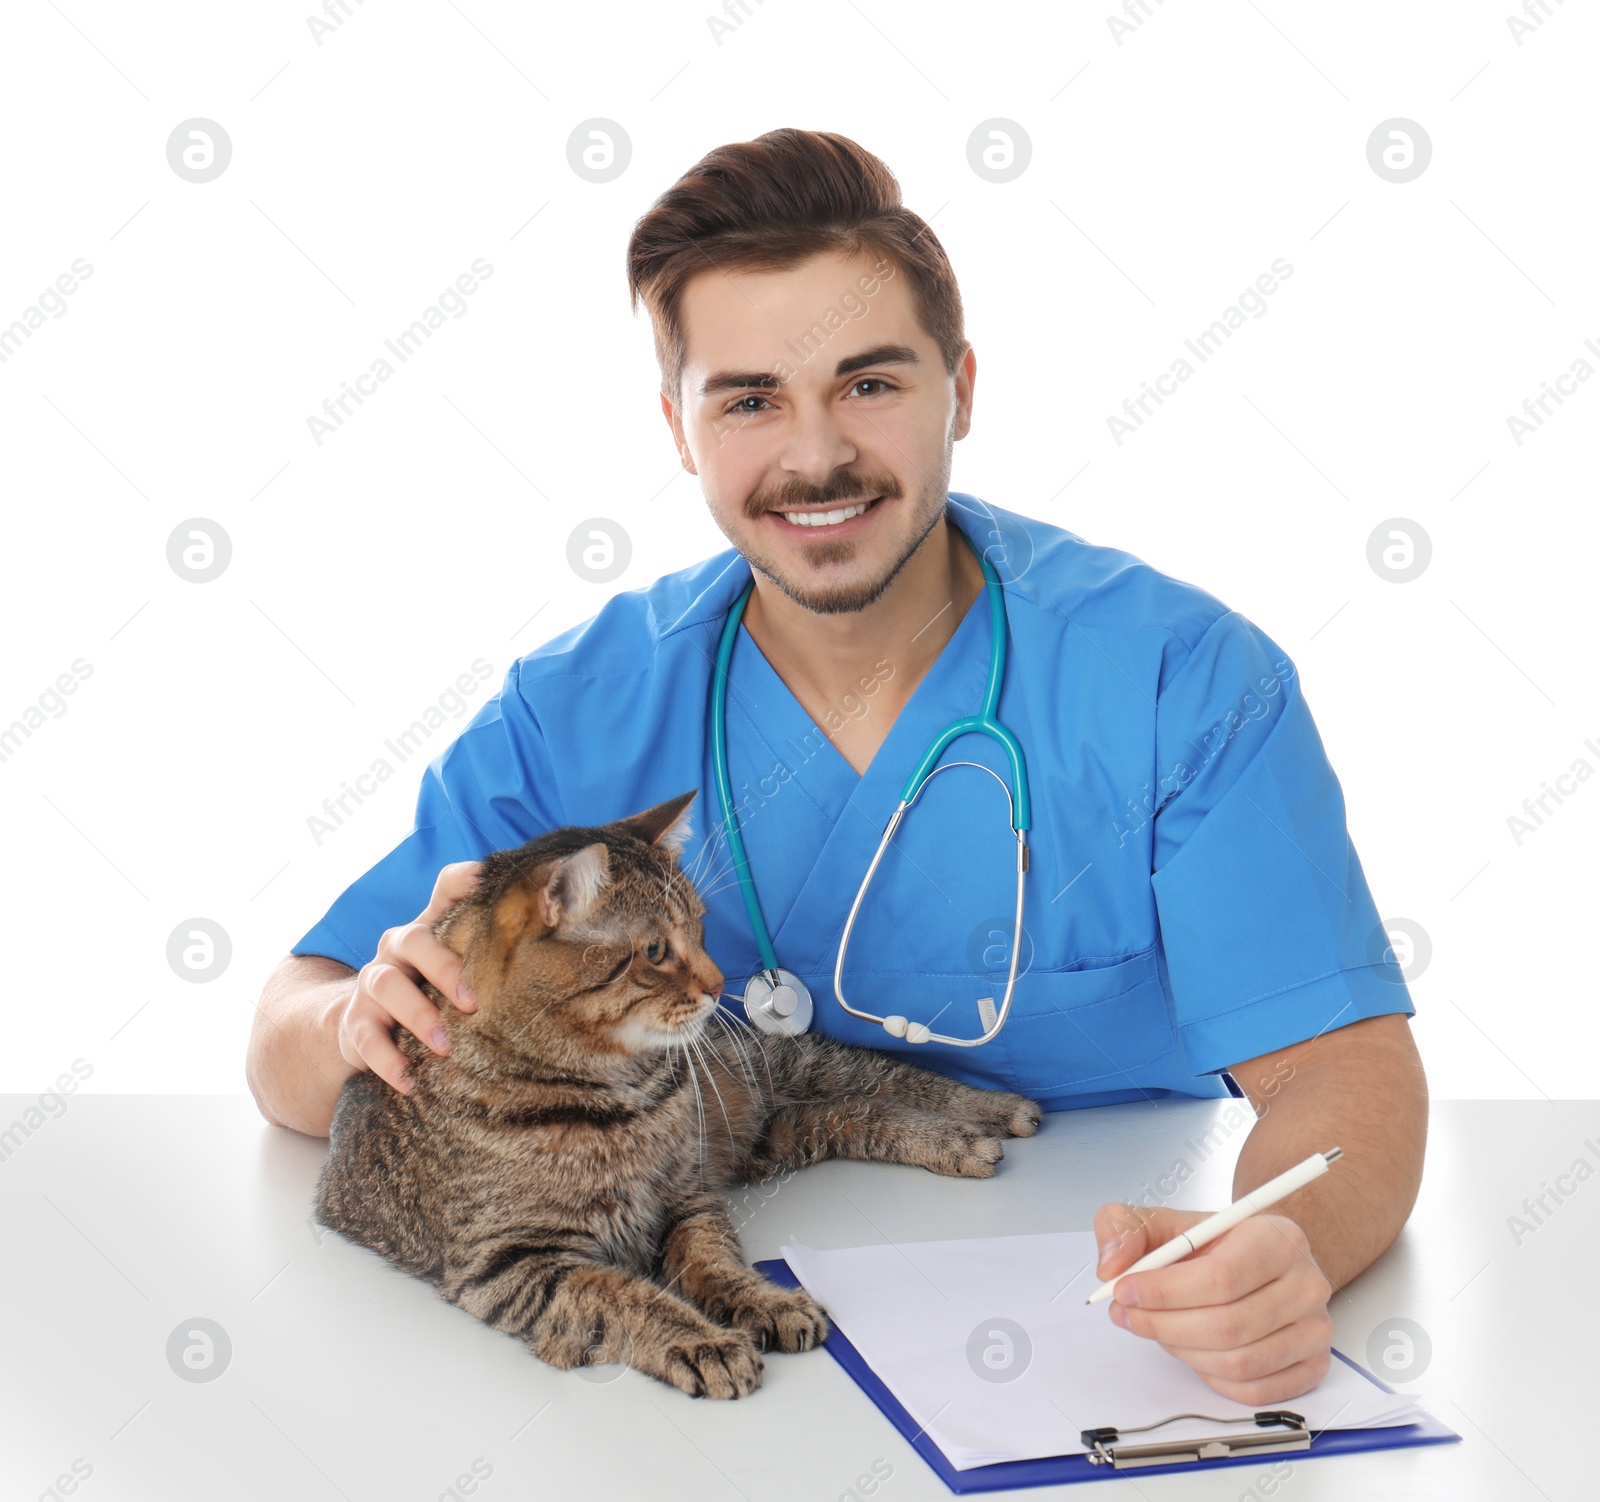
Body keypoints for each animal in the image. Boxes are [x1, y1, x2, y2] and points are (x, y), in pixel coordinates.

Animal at [316, 786, 1043, 1394]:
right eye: (655, 952)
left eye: (699, 926)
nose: (721, 984)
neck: (620, 1099)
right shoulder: (515, 1263)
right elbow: (621, 1296)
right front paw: (701, 1340)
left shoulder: (686, 1198)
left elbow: (714, 1261)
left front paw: (759, 1300)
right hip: (772, 1134)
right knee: (846, 1112)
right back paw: (961, 1138)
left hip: (770, 1069)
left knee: (878, 1074)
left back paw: (988, 1112)